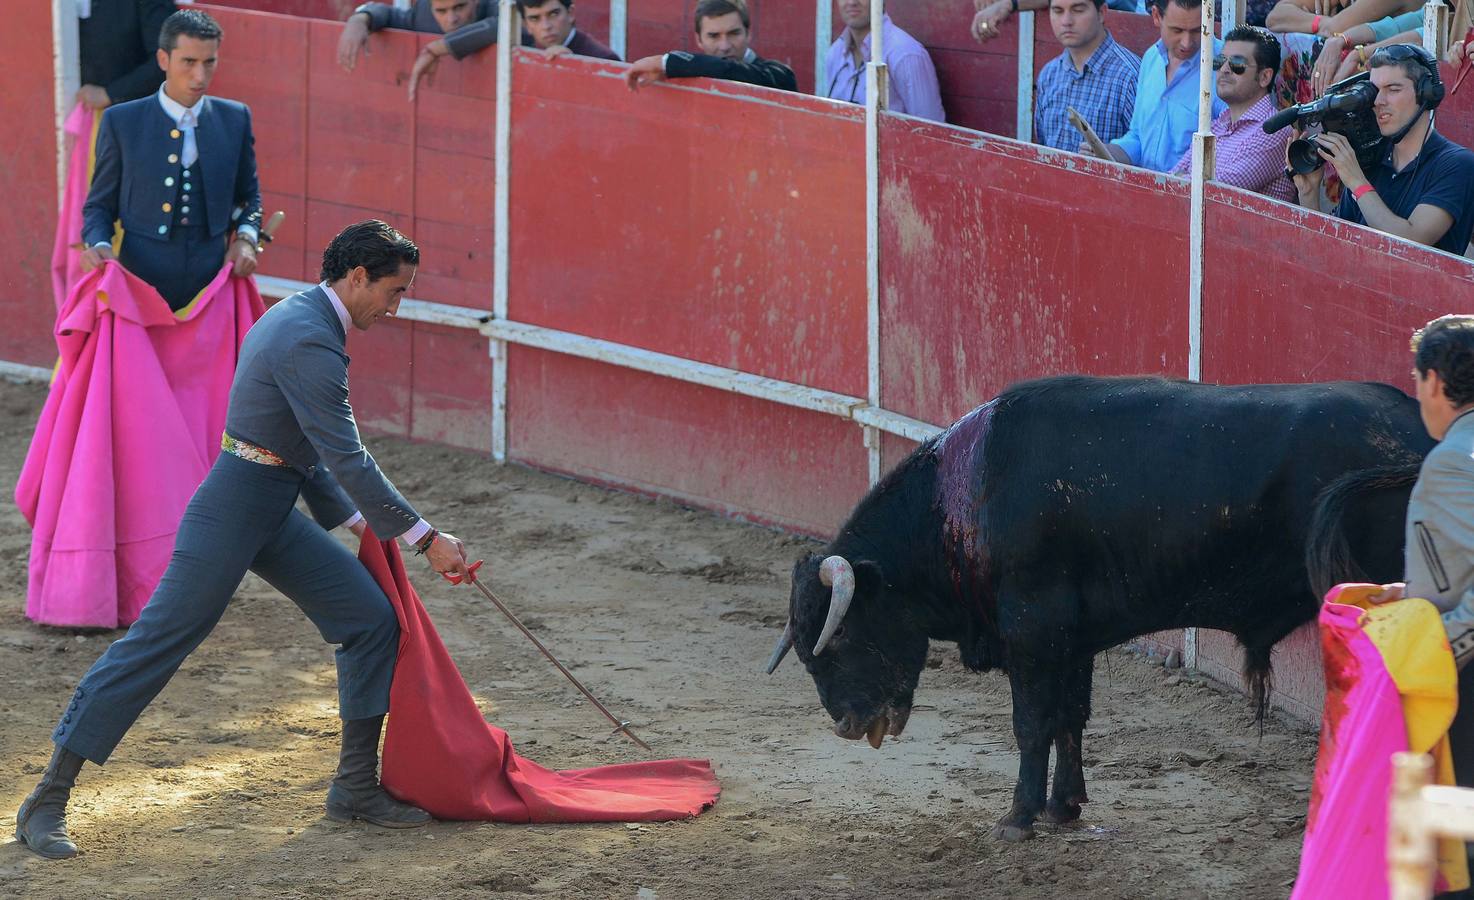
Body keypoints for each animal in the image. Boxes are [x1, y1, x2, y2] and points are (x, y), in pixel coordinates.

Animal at [766, 372, 1432, 836]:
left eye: (840, 635)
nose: (848, 725)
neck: (961, 503)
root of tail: (1418, 432)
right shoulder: (1072, 637)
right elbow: (1071, 717)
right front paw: (1064, 807)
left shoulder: (1032, 631)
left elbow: (1033, 722)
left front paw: (1018, 817)